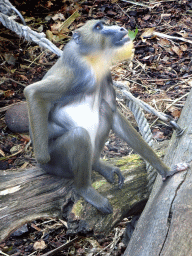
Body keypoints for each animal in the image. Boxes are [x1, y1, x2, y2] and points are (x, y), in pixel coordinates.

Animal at [24, 21, 186, 215]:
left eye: (104, 24)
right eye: (99, 27)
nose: (121, 28)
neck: (92, 59)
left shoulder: (106, 75)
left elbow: (115, 114)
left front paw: (166, 170)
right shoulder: (78, 71)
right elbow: (34, 92)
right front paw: (42, 157)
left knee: (104, 109)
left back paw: (95, 164)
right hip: (59, 163)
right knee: (79, 137)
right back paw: (84, 189)